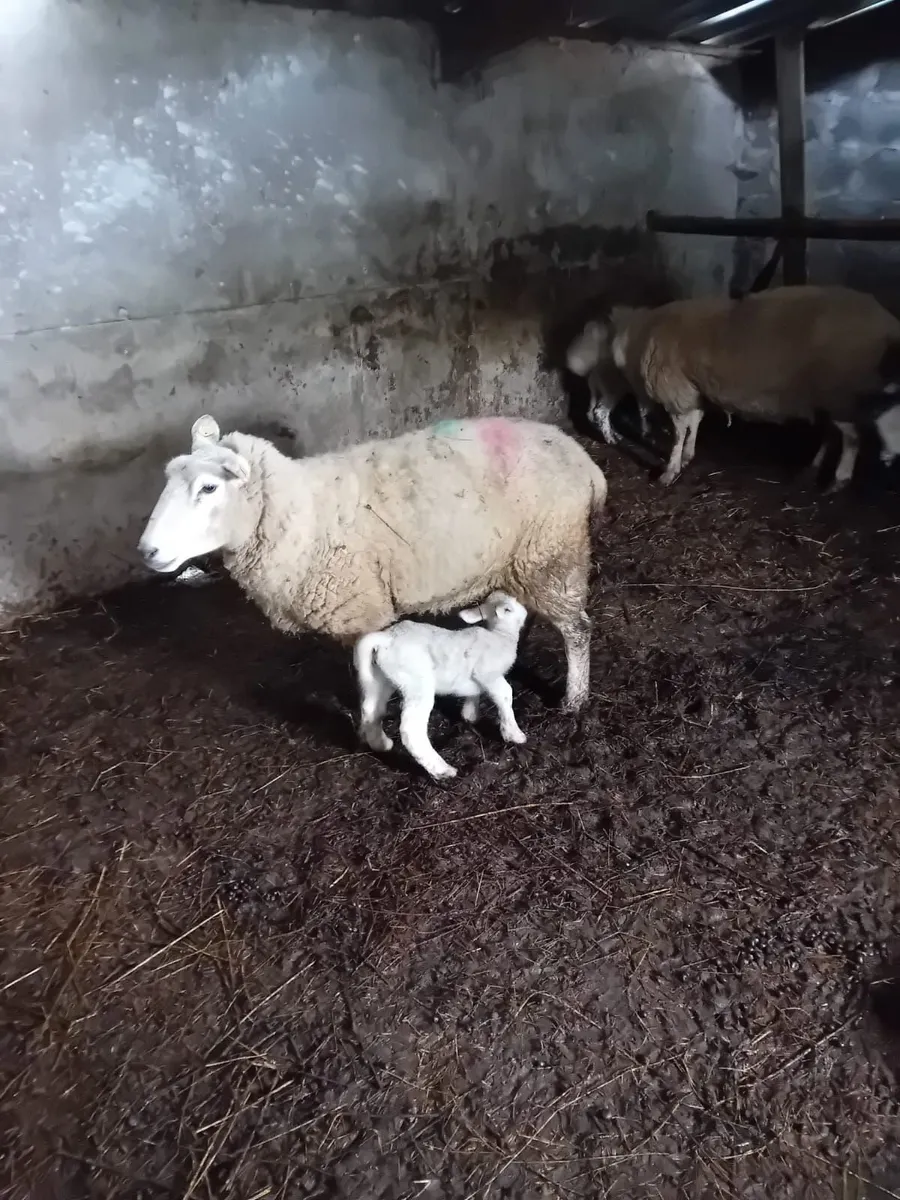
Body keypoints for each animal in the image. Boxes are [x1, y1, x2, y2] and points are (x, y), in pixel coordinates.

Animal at [138, 414, 609, 712]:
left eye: (208, 488)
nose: (147, 551)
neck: (303, 515)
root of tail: (582, 459)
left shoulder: (361, 612)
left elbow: (367, 674)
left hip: (551, 553)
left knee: (577, 628)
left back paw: (574, 701)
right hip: (520, 560)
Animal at [354, 591, 528, 780]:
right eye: (509, 608)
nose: (525, 612)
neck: (501, 635)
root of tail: (385, 638)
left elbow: (473, 694)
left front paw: (470, 715)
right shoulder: (488, 673)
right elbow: (505, 695)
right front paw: (514, 734)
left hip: (380, 678)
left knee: (371, 710)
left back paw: (381, 744)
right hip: (417, 682)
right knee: (411, 729)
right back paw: (442, 770)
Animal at [565, 285, 900, 490]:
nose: (577, 362)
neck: (634, 336)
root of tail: (886, 323)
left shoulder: (676, 392)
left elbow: (678, 433)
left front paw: (670, 470)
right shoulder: (690, 389)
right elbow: (694, 423)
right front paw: (688, 456)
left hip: (840, 391)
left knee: (851, 437)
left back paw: (838, 479)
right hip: (826, 394)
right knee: (835, 434)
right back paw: (813, 470)